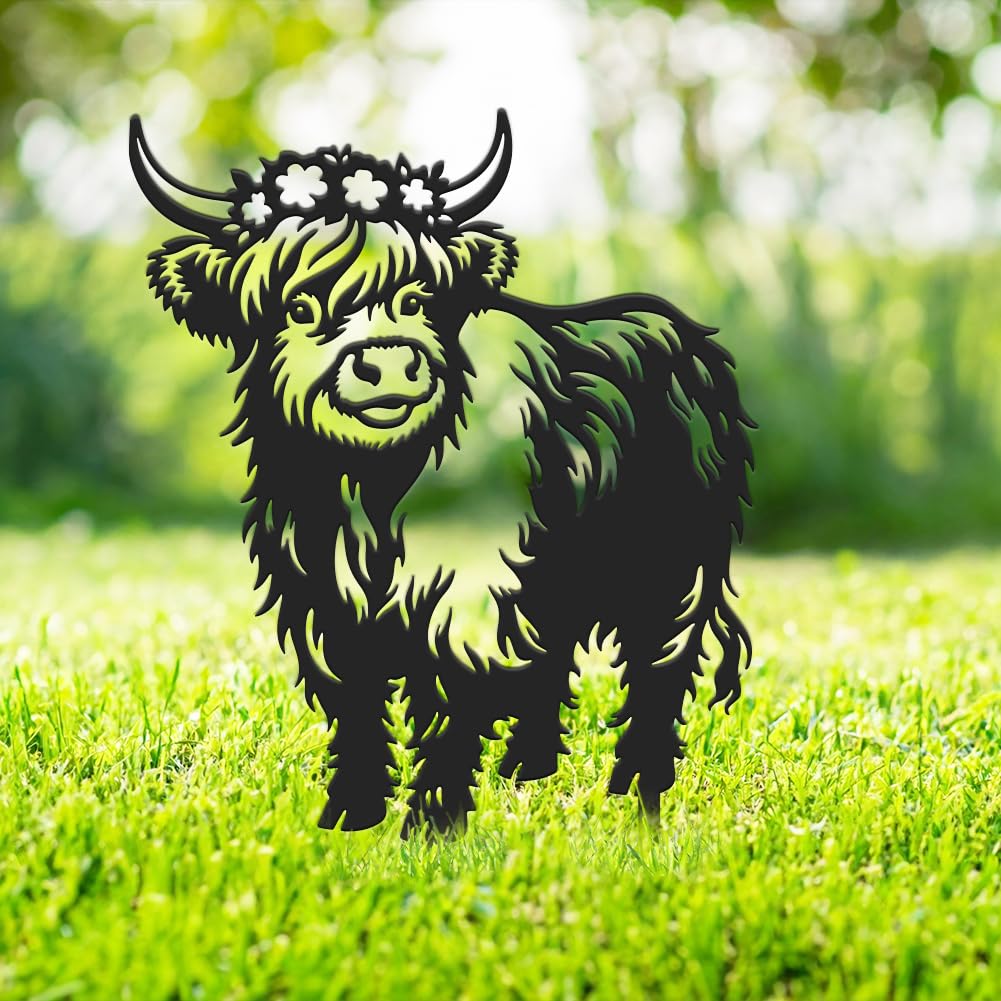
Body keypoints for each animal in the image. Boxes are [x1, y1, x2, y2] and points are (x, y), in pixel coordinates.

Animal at [129, 110, 754, 837]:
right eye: (299, 307)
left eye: (417, 298)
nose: (387, 363)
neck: (369, 489)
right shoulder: (324, 594)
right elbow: (356, 701)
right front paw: (353, 812)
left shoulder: (466, 597)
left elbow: (453, 701)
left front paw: (433, 823)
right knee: (560, 649)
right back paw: (530, 765)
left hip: (673, 563)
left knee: (660, 660)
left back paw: (639, 790)